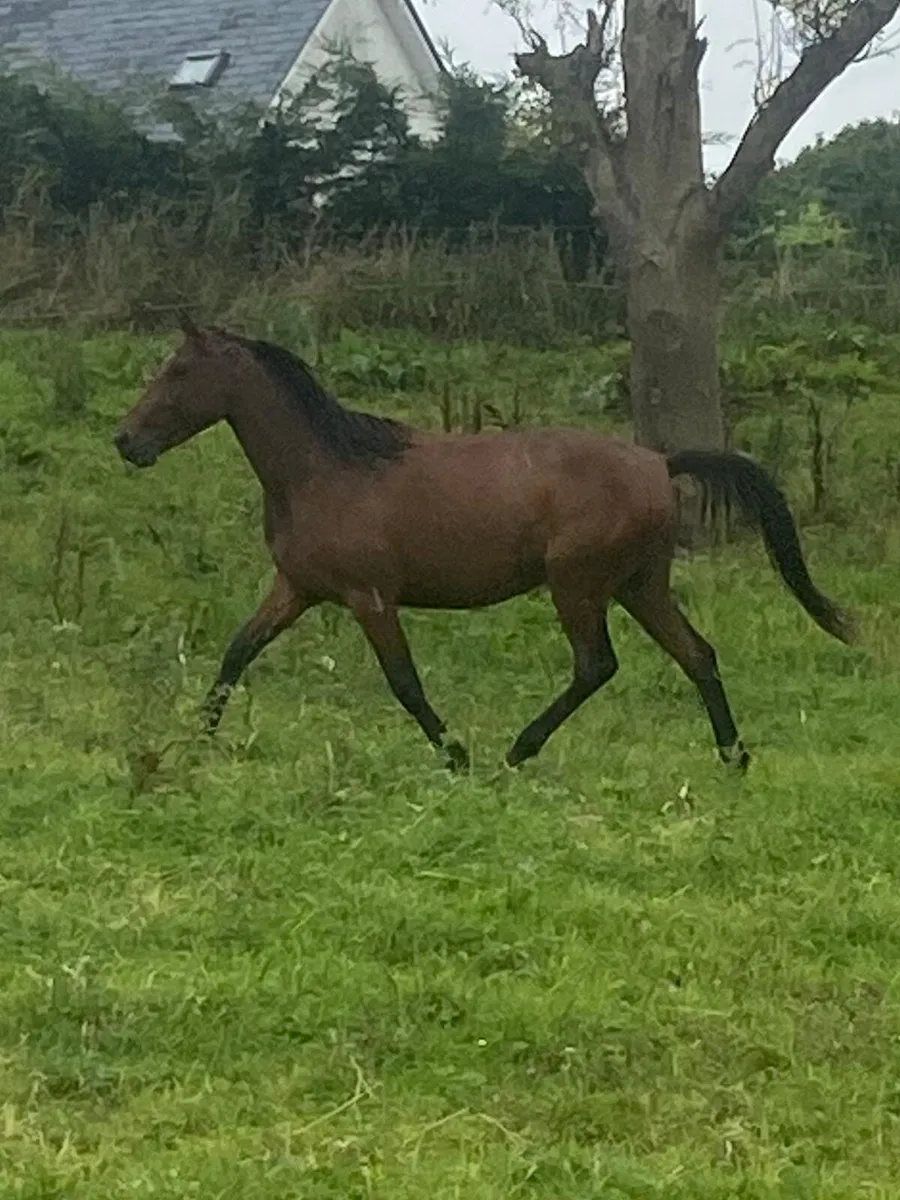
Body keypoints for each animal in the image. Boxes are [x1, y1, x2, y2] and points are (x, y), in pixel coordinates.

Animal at [113, 318, 853, 773]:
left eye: (178, 371)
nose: (126, 441)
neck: (327, 468)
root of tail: (659, 463)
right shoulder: (296, 589)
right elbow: (236, 653)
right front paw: (194, 744)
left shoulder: (369, 596)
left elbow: (405, 684)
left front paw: (456, 755)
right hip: (640, 585)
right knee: (697, 655)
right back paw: (734, 758)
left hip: (578, 584)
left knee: (596, 665)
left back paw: (518, 751)